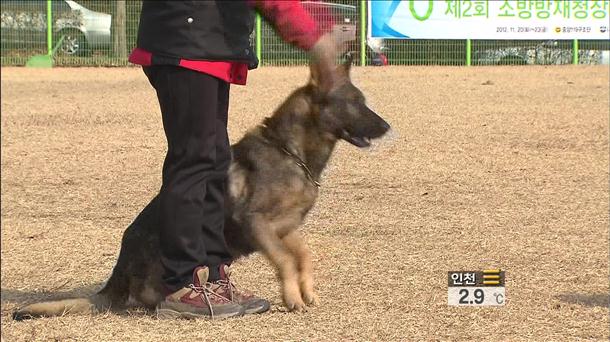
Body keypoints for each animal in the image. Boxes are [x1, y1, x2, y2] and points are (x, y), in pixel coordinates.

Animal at [13, 56, 390, 320]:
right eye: (355, 103)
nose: (388, 127)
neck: (289, 150)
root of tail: (119, 268)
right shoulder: (257, 224)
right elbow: (285, 260)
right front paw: (292, 298)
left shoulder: (283, 228)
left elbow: (303, 254)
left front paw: (306, 290)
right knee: (157, 295)